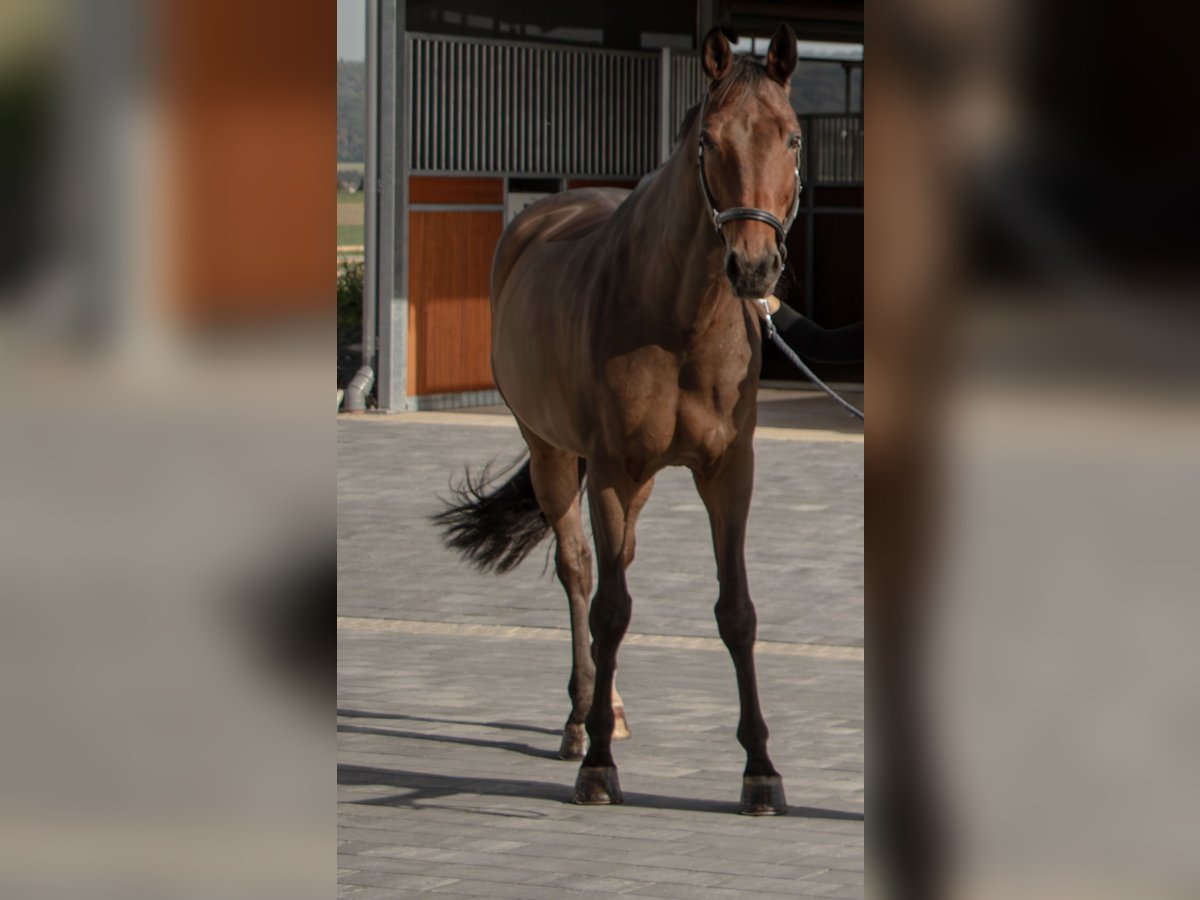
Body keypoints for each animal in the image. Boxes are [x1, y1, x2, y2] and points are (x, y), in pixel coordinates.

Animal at [436, 26, 801, 816]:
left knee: (619, 565)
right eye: (709, 140)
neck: (679, 320)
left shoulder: (729, 472)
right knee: (581, 572)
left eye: (790, 137)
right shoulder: (606, 469)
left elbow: (737, 612)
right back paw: (582, 721)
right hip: (552, 452)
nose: (753, 269)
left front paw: (762, 770)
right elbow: (607, 608)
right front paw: (599, 767)